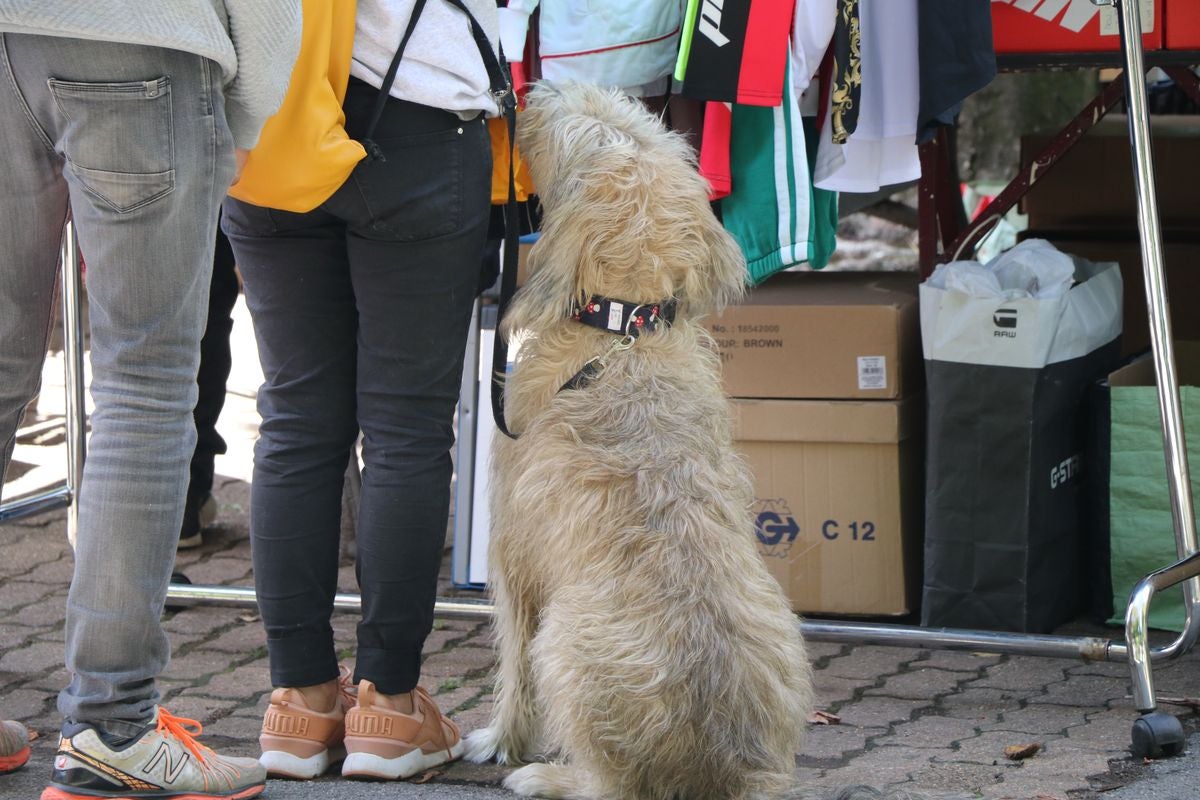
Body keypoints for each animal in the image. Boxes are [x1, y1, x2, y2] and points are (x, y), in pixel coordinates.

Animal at [463, 82, 811, 800]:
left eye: (594, 132)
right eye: (642, 125)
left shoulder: (512, 549)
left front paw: (500, 739)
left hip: (565, 642)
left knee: (608, 784)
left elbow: (512, 658)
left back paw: (546, 775)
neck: (625, 330)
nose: (542, 88)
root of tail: (723, 769)